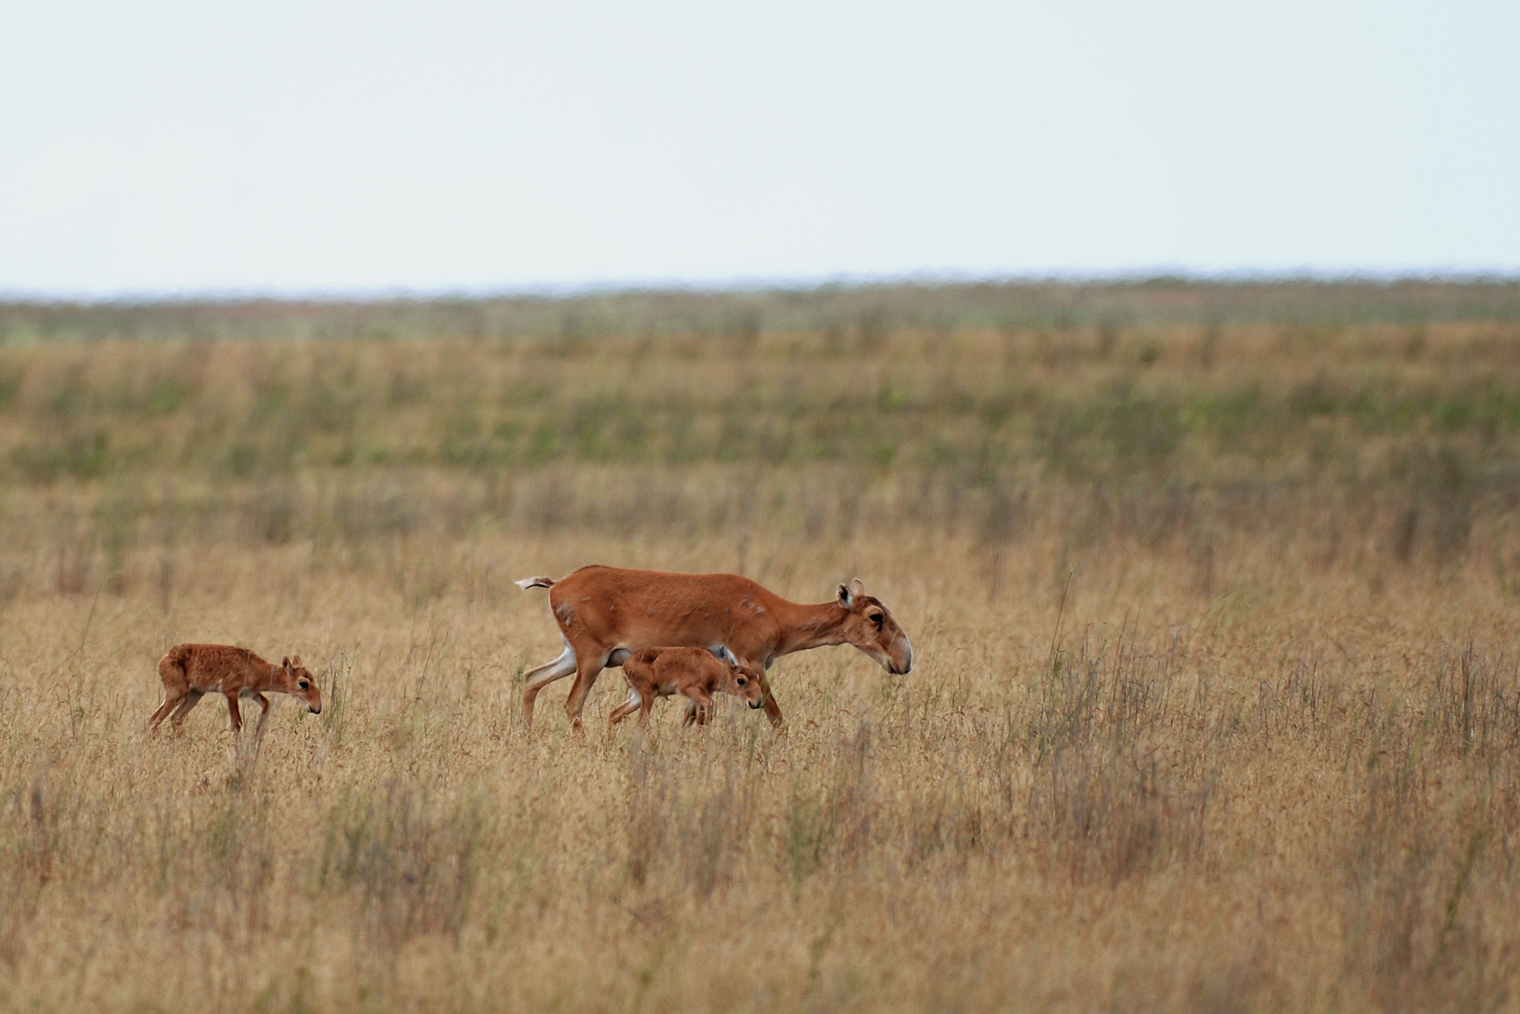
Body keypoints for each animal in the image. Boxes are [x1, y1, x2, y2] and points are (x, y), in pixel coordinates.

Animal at [510, 571, 912, 729]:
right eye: (876, 616)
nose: (904, 661)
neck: (775, 612)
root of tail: (556, 584)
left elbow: (691, 718)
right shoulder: (753, 664)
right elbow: (776, 717)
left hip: (573, 657)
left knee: (532, 679)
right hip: (591, 659)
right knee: (571, 703)